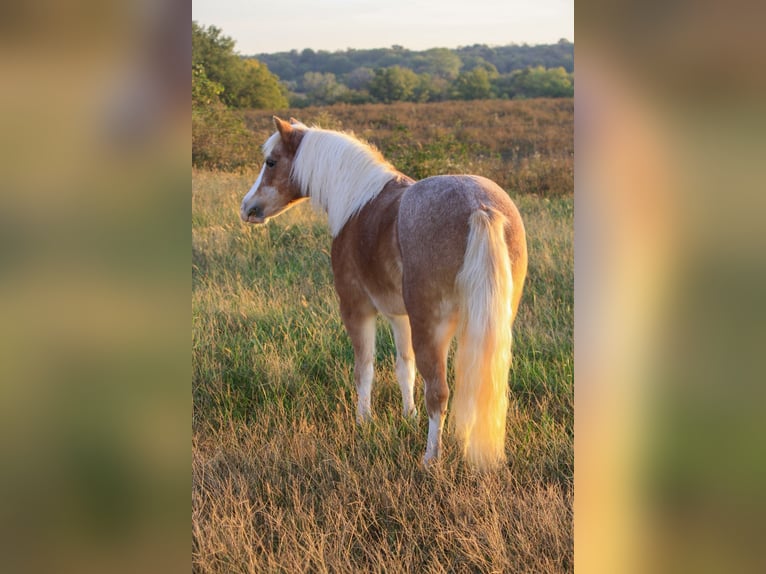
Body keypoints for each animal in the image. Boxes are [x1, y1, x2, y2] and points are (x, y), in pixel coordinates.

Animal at [240, 116, 527, 469]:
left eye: (271, 161)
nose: (247, 208)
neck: (358, 204)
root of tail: (481, 208)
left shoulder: (356, 308)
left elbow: (364, 368)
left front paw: (363, 421)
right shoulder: (398, 315)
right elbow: (405, 367)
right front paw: (408, 415)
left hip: (432, 327)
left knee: (439, 391)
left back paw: (430, 458)